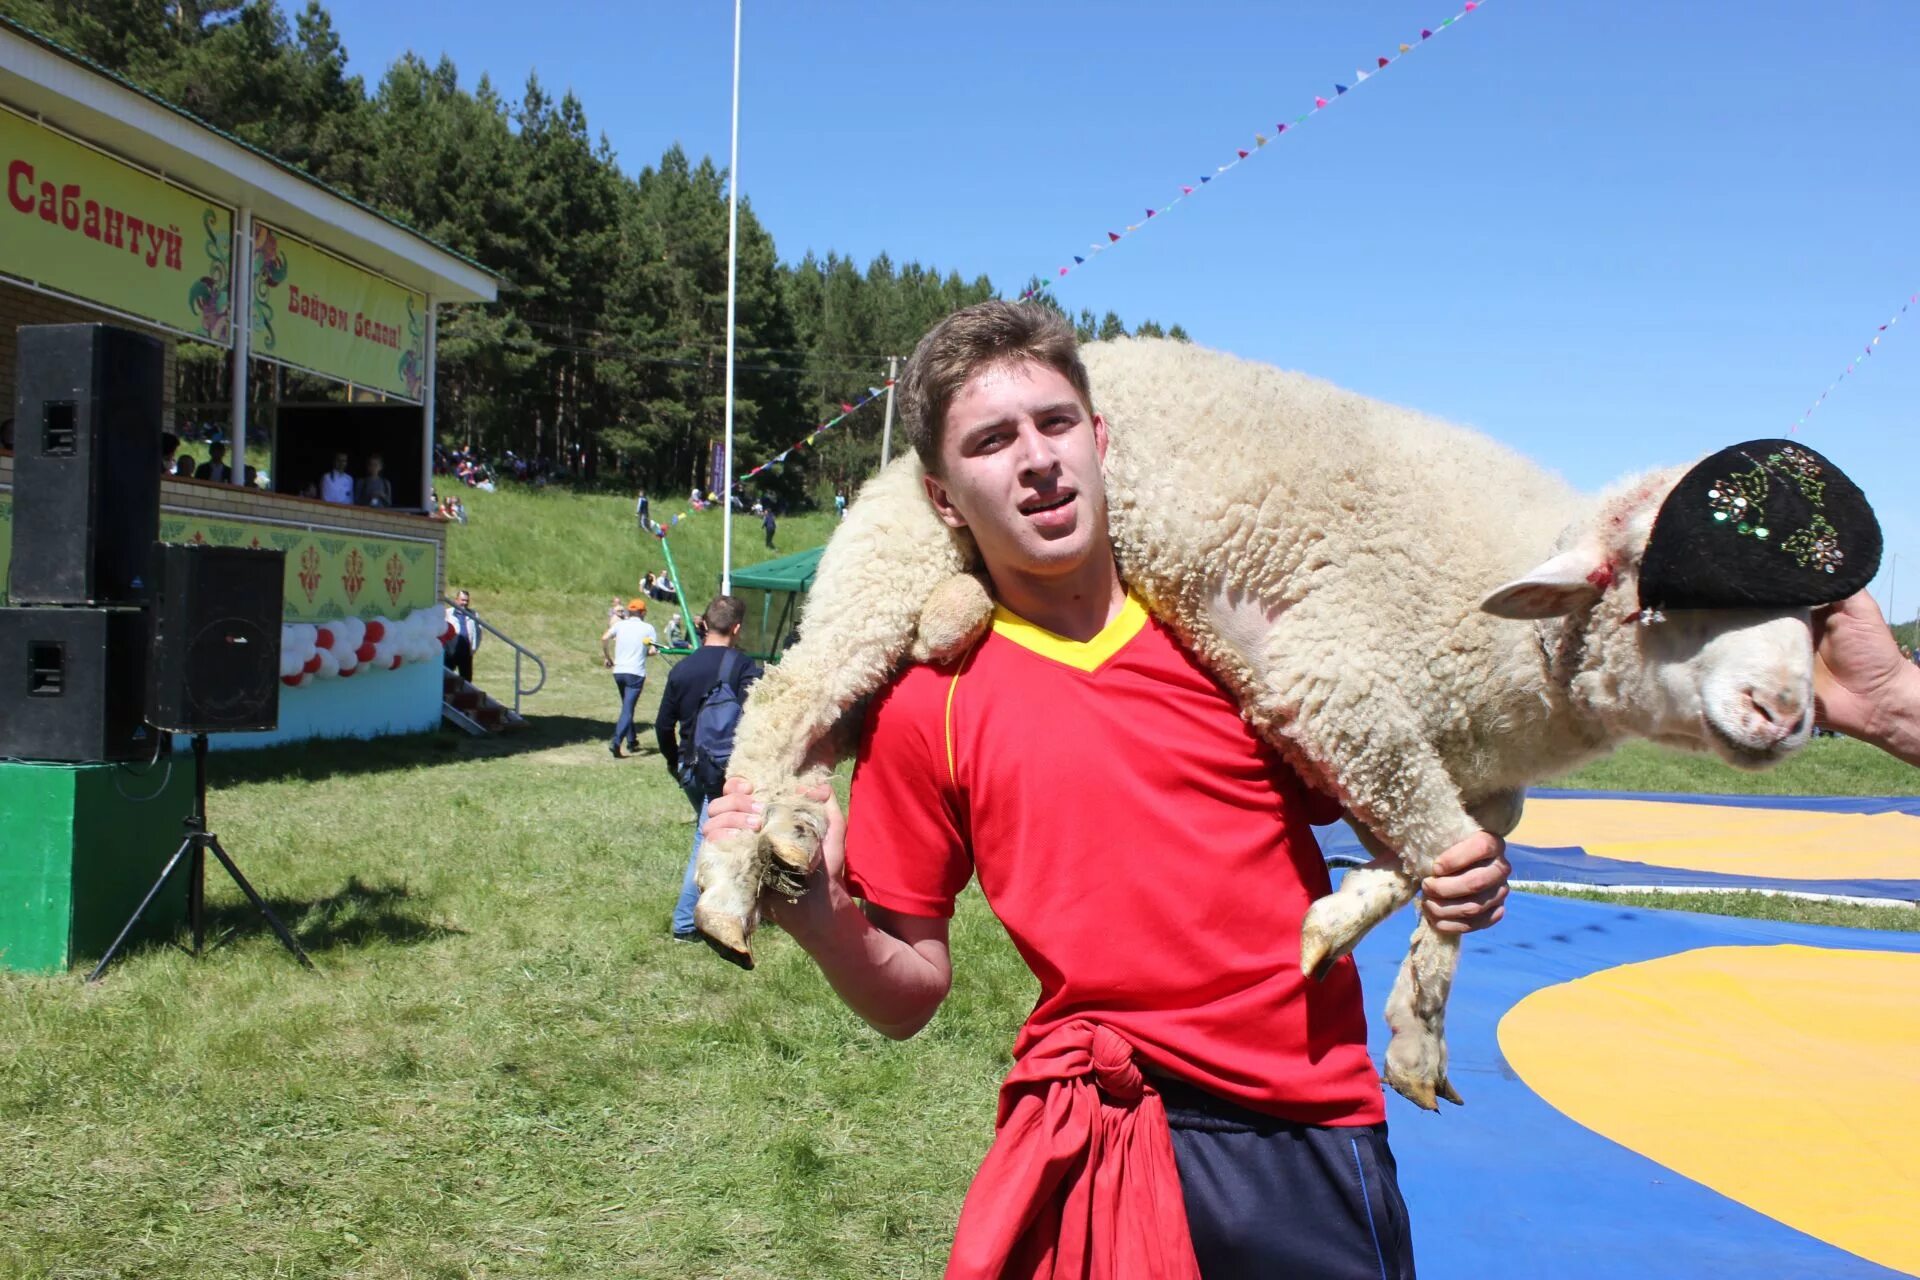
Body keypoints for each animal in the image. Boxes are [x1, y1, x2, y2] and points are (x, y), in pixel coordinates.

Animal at [698, 337, 1820, 1113]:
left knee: (826, 734)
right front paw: (1404, 997)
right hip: (890, 558)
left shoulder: (1433, 747)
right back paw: (726, 885)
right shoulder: (1330, 676)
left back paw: (793, 837)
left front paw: (1363, 950)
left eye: (1817, 615)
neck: (1517, 658)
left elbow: (1465, 841)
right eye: (1662, 595)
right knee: (785, 697)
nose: (1788, 712)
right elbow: (1451, 840)